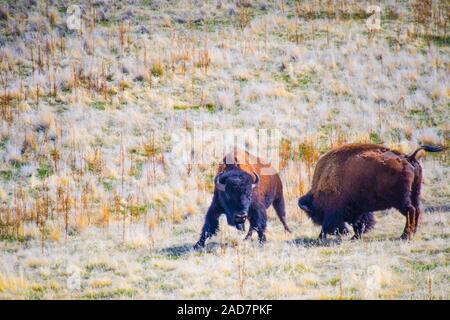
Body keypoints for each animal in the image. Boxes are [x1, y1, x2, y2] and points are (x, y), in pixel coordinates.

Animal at [298, 143, 444, 240]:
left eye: (315, 212)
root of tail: (409, 157)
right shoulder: (359, 209)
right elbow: (360, 222)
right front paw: (355, 237)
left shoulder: (334, 210)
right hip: (415, 193)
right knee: (417, 209)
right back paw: (412, 233)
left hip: (400, 200)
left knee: (411, 210)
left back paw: (405, 236)